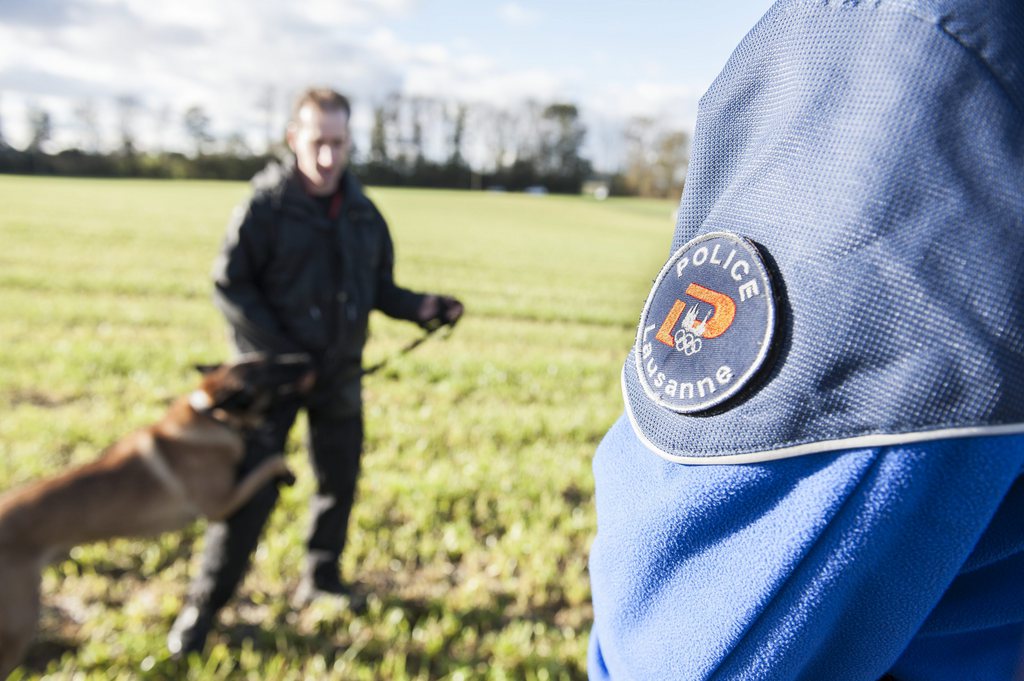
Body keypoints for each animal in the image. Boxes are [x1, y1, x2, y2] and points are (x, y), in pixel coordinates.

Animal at [0, 352, 313, 675]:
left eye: (268, 359)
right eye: (271, 368)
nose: (305, 357)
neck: (209, 414)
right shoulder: (220, 504)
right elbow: (267, 463)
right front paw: (284, 469)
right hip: (19, 621)